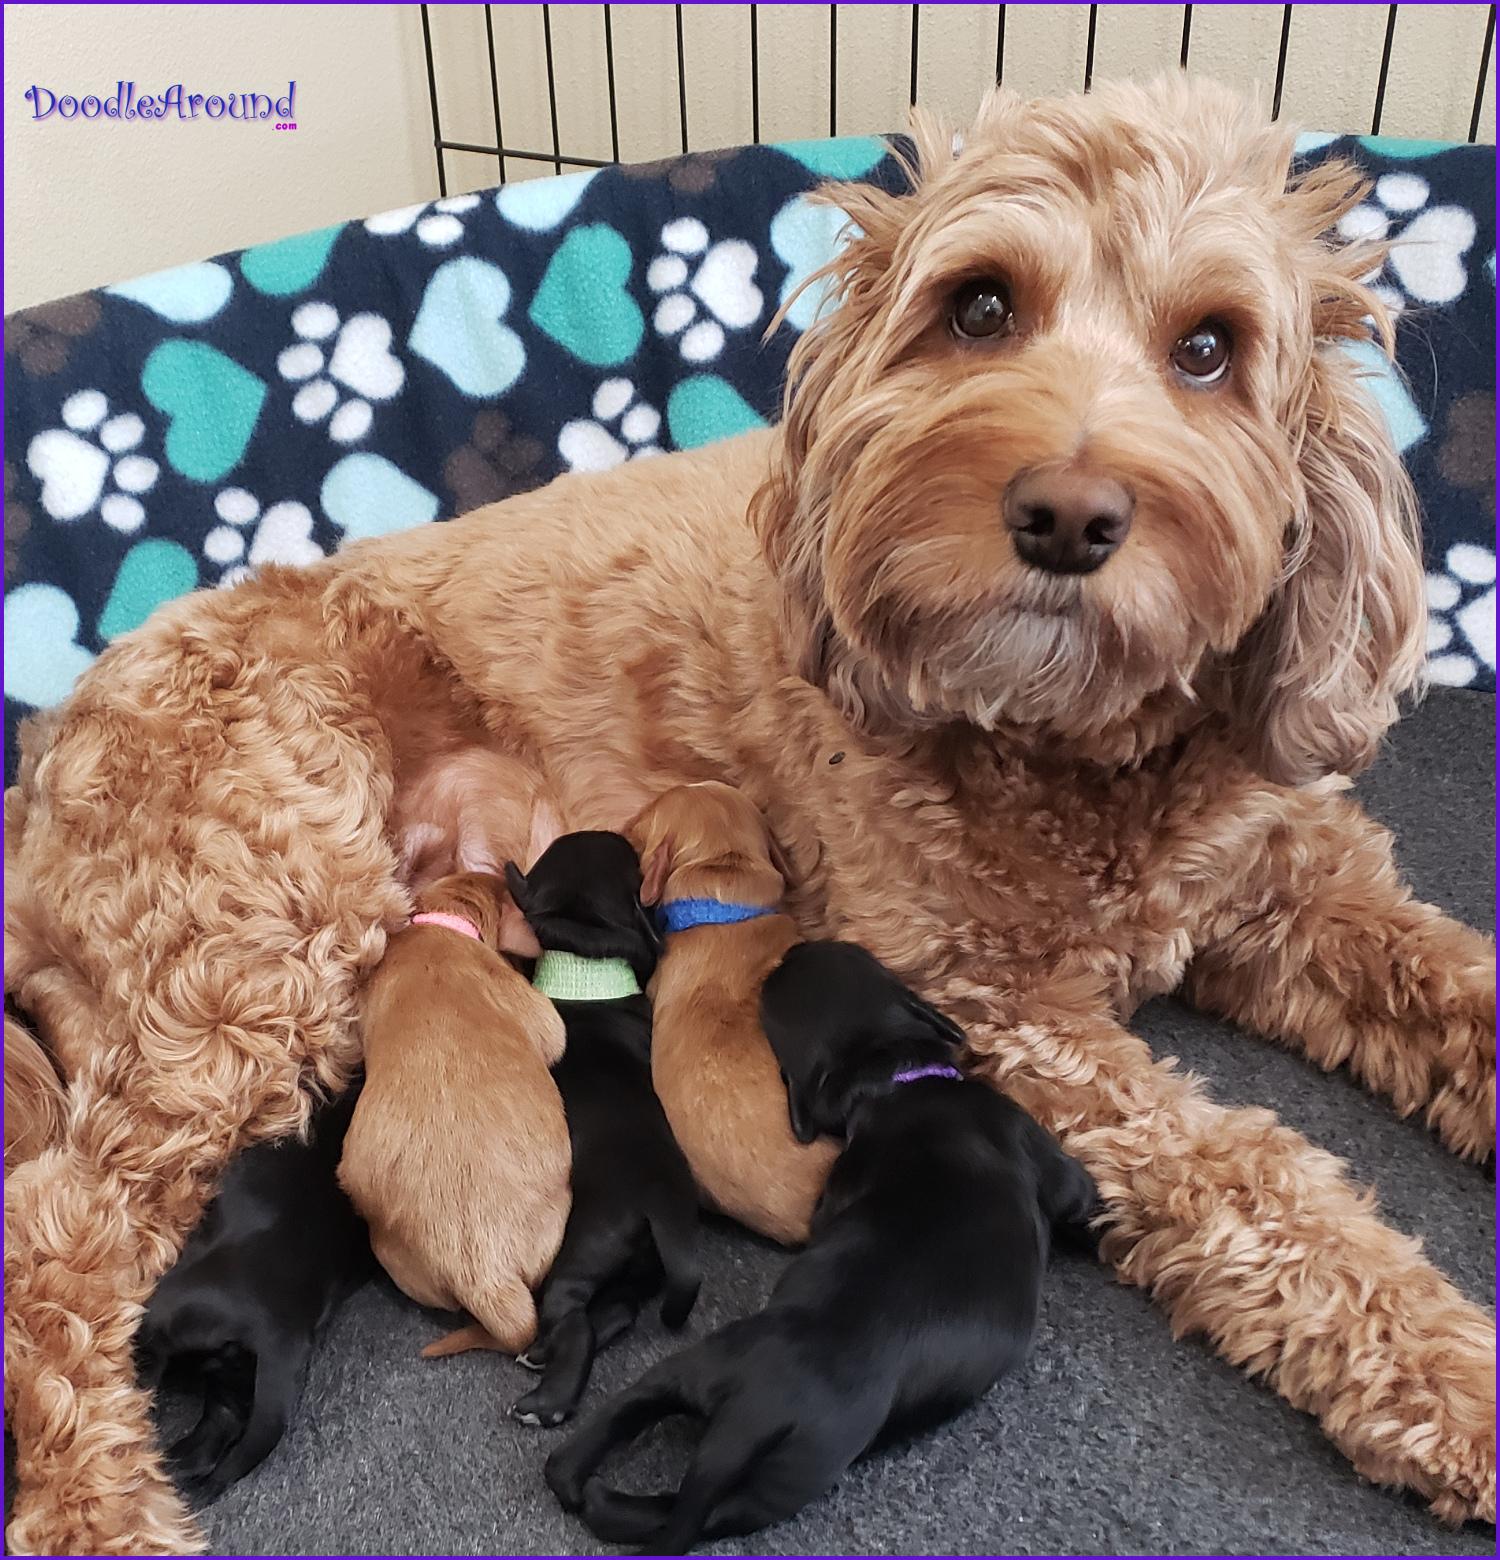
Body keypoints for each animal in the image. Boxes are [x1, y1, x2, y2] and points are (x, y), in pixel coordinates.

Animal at [440, 830, 701, 1429]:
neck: (585, 958)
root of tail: (665, 1210)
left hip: (581, 1252)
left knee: (577, 1321)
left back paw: (547, 1401)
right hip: (635, 1270)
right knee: (619, 1312)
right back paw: (542, 1355)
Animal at [546, 939, 1096, 1552]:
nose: (796, 947)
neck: (899, 1079)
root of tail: (753, 1416)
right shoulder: (1048, 1158)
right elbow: (1082, 1196)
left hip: (723, 1420)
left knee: (634, 1484)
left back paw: (592, 1490)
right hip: (775, 1465)